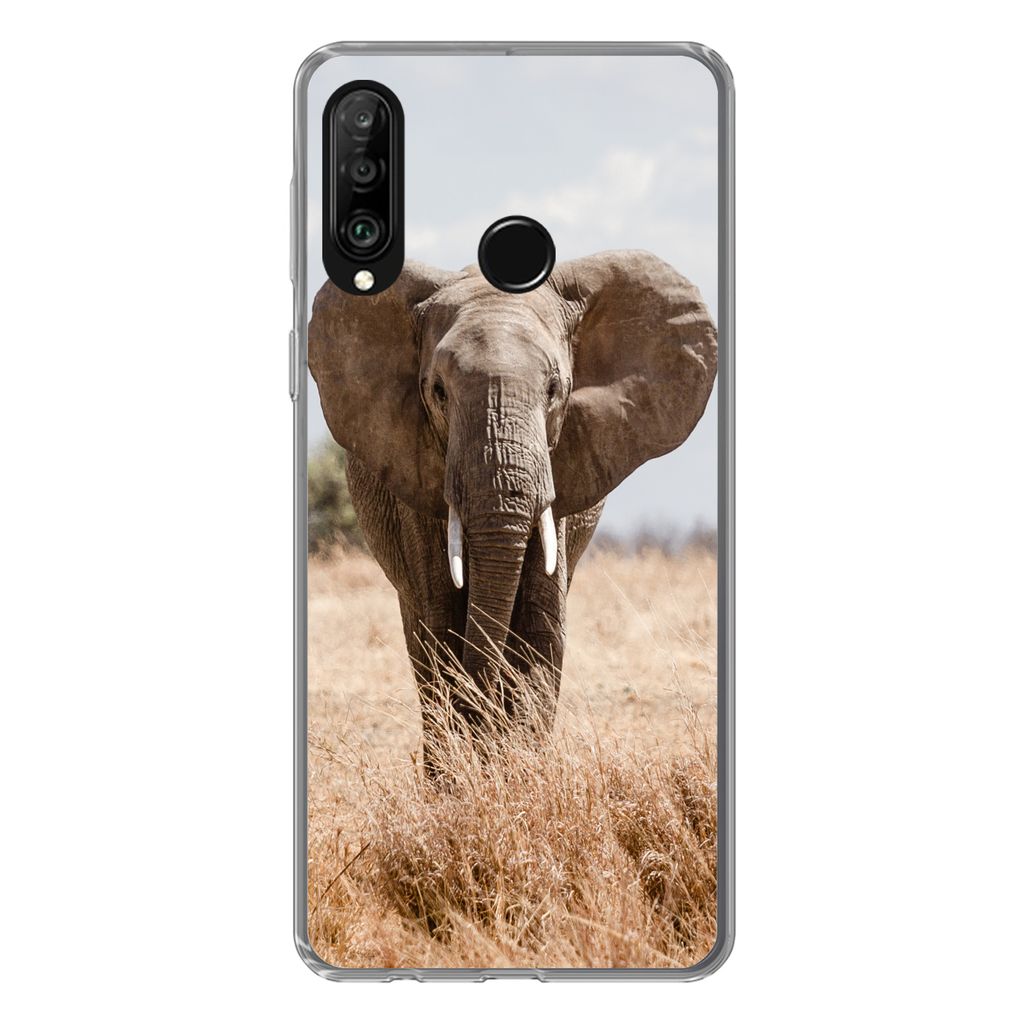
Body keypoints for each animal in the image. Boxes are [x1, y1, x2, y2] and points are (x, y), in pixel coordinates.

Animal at [308, 249, 717, 774]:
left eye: (554, 389)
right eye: (438, 391)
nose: (482, 725)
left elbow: (540, 628)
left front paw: (519, 771)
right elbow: (443, 622)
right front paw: (463, 779)